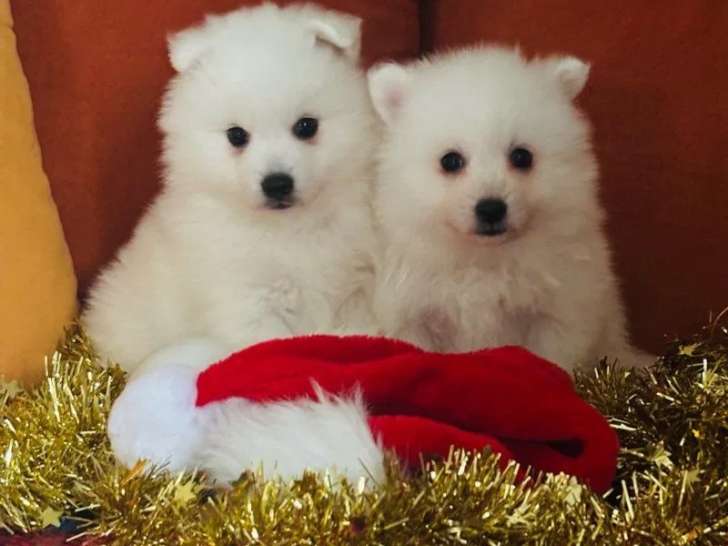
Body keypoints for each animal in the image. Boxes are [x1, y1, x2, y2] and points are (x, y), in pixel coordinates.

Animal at [367, 45, 651, 371]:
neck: (485, 260)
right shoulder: (413, 316)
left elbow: (551, 361)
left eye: (522, 156)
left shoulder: (557, 314)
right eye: (450, 161)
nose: (491, 209)